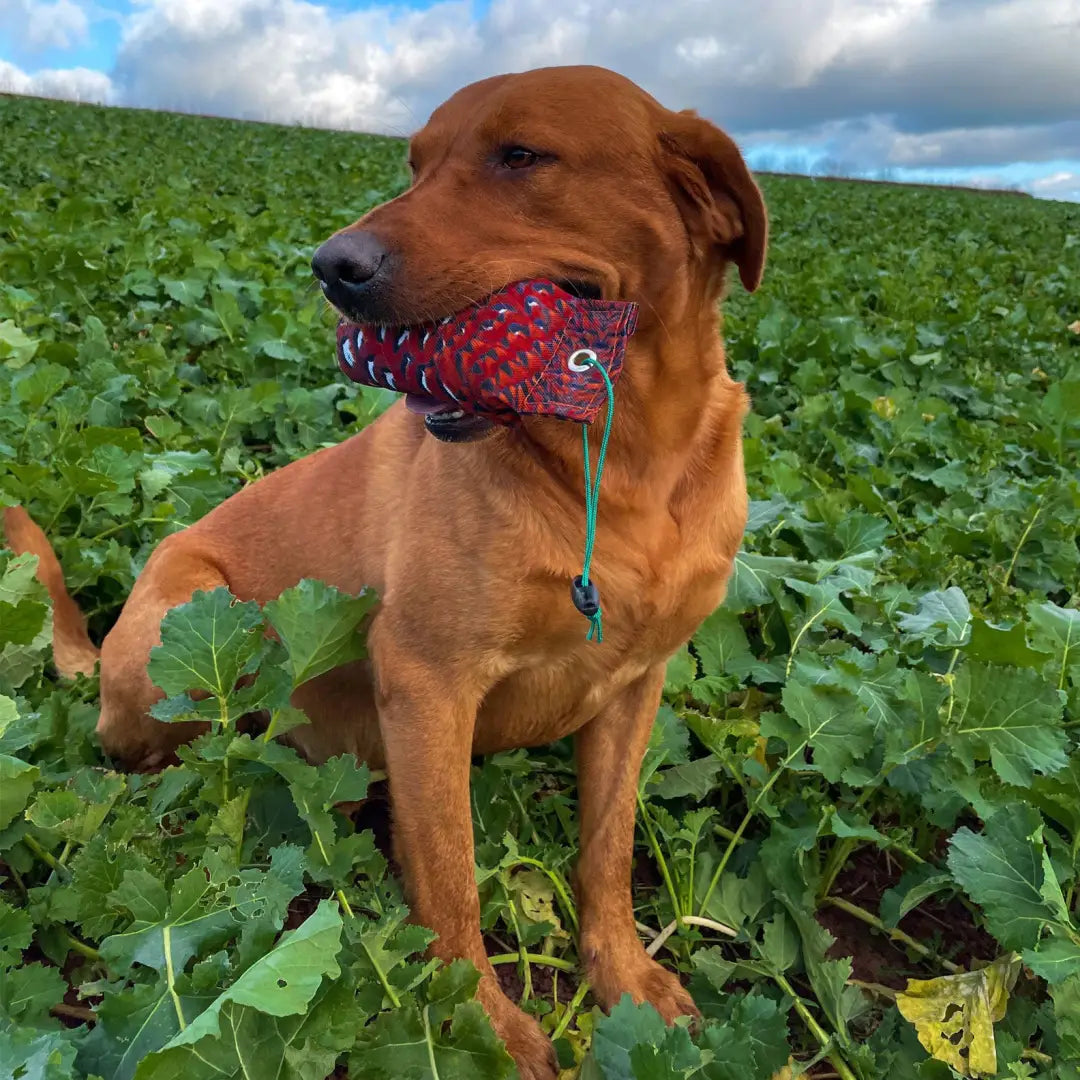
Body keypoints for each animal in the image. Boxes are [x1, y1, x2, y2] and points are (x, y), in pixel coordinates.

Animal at [8, 65, 768, 1080]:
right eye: (416, 163)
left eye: (521, 155)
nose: (332, 265)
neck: (623, 461)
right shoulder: (426, 680)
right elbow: (449, 879)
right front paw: (476, 1025)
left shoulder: (636, 686)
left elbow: (605, 851)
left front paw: (623, 977)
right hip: (199, 622)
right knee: (177, 755)